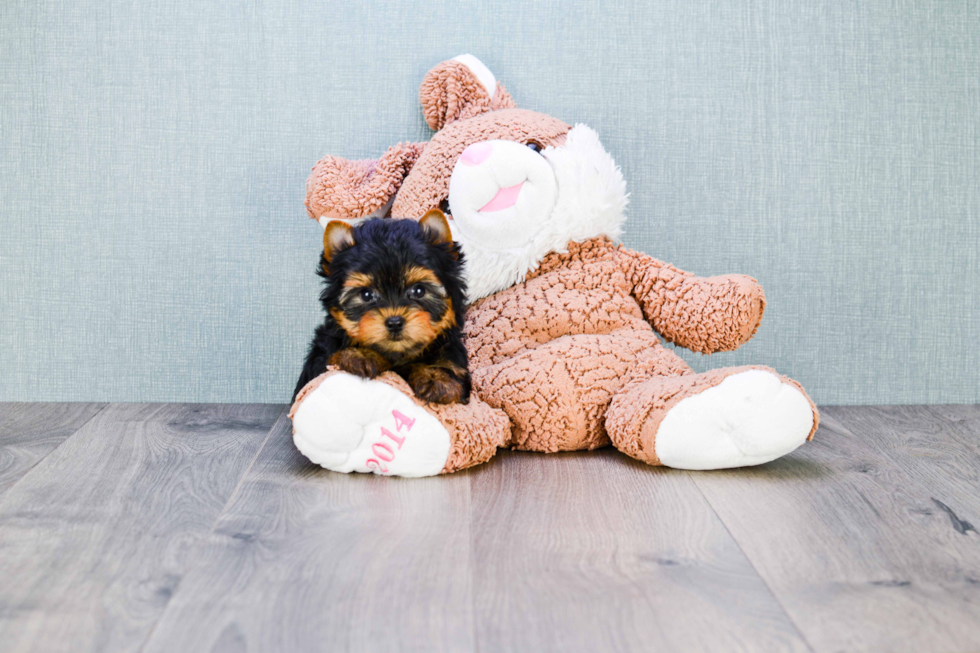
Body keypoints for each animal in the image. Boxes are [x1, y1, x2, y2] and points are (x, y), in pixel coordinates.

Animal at [290, 210, 470, 402]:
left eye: (419, 291)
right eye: (366, 295)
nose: (394, 322)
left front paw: (436, 377)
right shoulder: (322, 360)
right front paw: (361, 355)